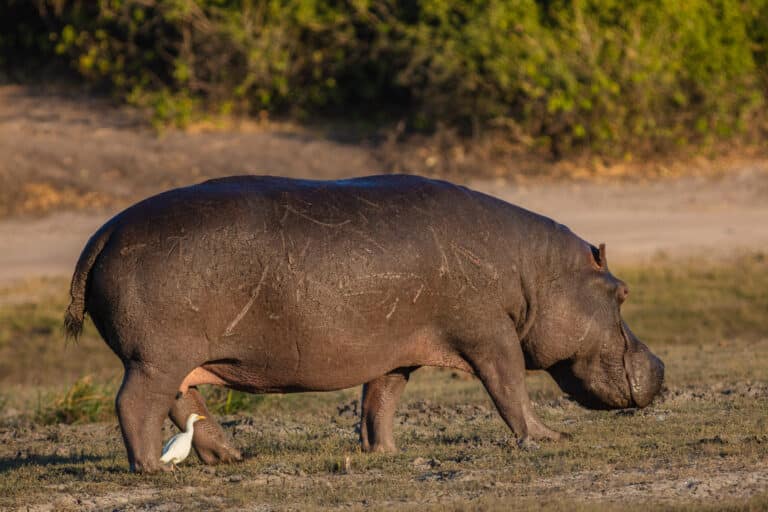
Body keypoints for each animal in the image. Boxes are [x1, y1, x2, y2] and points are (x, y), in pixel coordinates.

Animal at [65, 174, 664, 473]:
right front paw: (549, 437)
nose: (660, 366)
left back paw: (232, 456)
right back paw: (152, 469)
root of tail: (103, 232)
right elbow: (510, 387)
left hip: (179, 359)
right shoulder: (489, 336)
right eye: (622, 292)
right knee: (135, 405)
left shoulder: (396, 350)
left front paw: (386, 453)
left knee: (183, 403)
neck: (535, 272)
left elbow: (381, 401)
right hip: (155, 358)